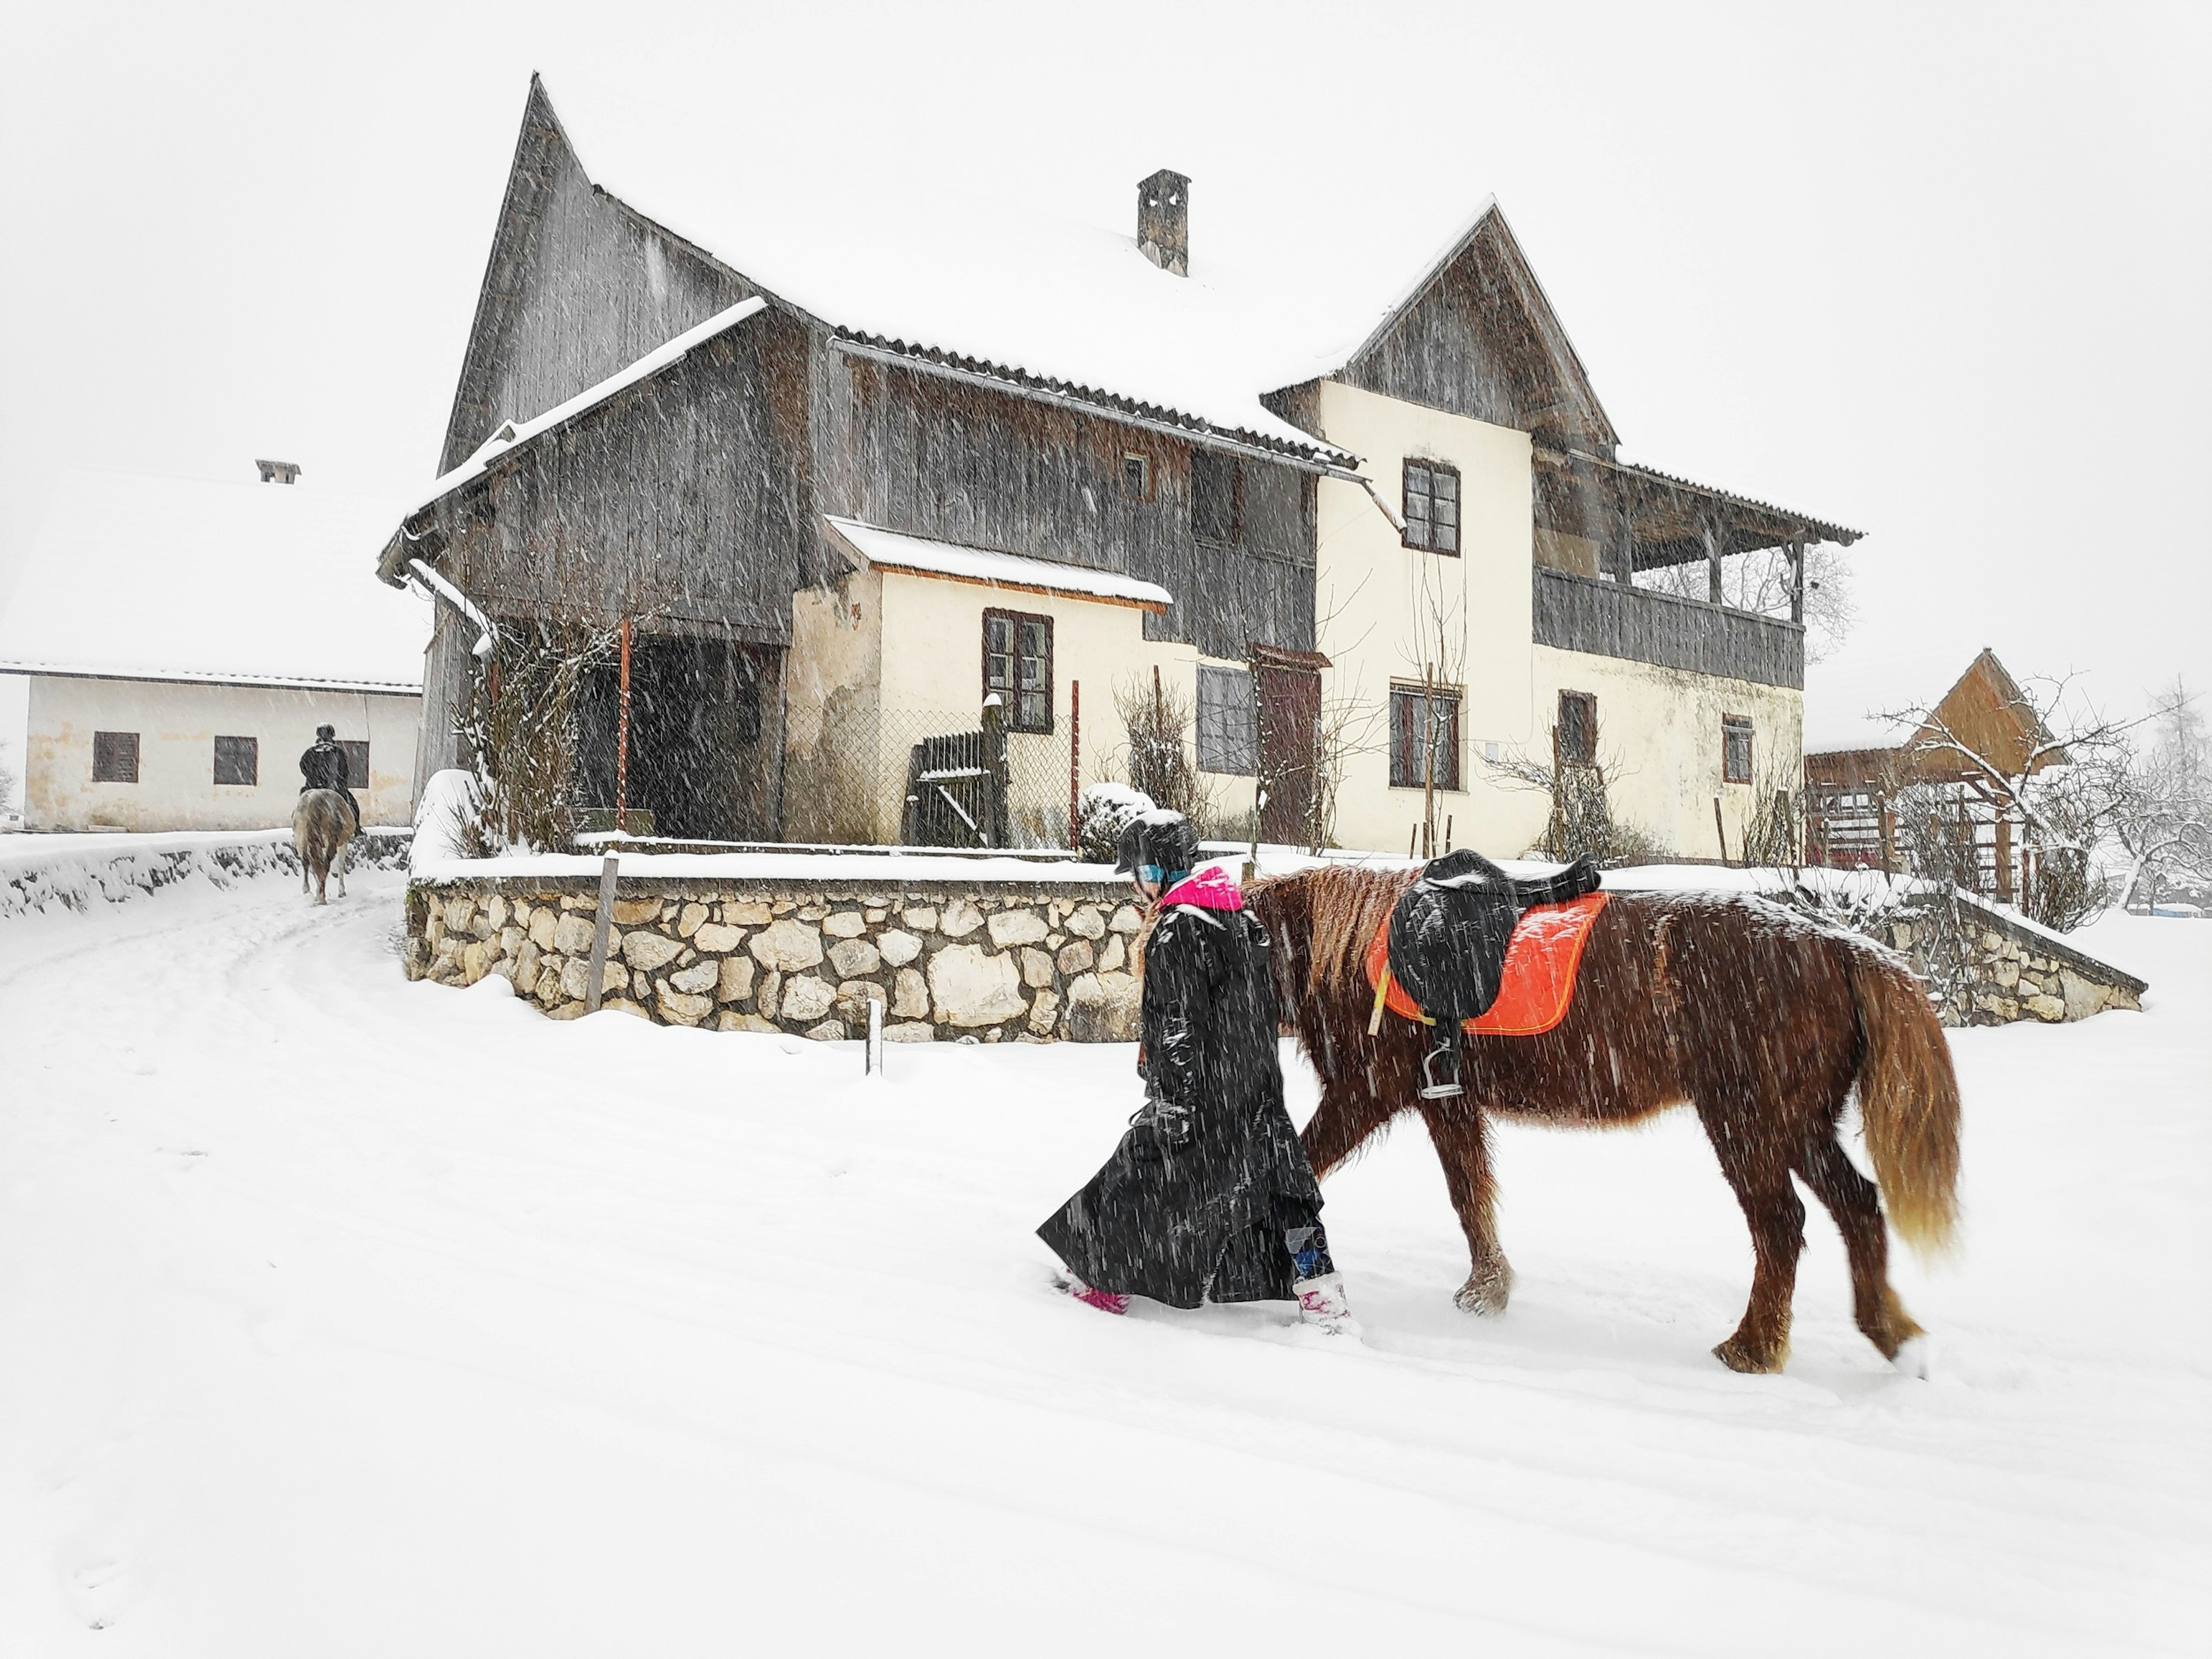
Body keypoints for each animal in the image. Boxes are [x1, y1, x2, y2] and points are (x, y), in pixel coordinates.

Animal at [294, 791, 358, 911]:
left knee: (307, 863)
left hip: (301, 840)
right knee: (325, 865)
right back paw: (322, 898)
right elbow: (340, 866)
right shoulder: (343, 843)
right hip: (330, 842)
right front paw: (341, 891)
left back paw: (308, 891)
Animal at [1256, 871, 1964, 1380]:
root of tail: (1841, 947)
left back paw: (1754, 1347)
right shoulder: (1446, 1103)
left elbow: (1306, 1166)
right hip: (1800, 1126)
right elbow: (1469, 1194)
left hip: (1749, 1123)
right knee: (1858, 1206)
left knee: (1782, 1225)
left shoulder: (1365, 1092)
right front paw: (1488, 1290)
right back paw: (1892, 1337)